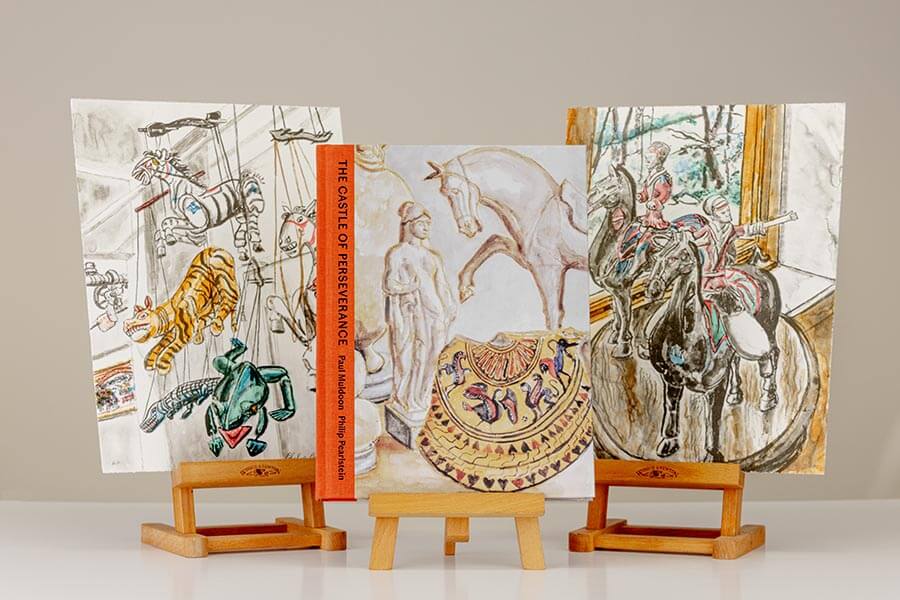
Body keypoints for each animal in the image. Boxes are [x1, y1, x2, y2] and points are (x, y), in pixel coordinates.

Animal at [424, 147, 588, 330]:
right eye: (444, 192)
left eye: (455, 190)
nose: (466, 228)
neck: (542, 211)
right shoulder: (527, 259)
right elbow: (494, 241)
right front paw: (465, 288)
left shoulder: (549, 269)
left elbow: (553, 316)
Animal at [644, 230, 782, 460]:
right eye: (657, 257)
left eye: (679, 257)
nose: (653, 290)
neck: (684, 338)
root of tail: (760, 270)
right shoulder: (671, 378)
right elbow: (671, 408)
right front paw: (669, 443)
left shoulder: (713, 387)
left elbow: (712, 419)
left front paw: (711, 454)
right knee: (736, 362)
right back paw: (736, 394)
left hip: (769, 331)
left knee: (771, 357)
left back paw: (767, 397)